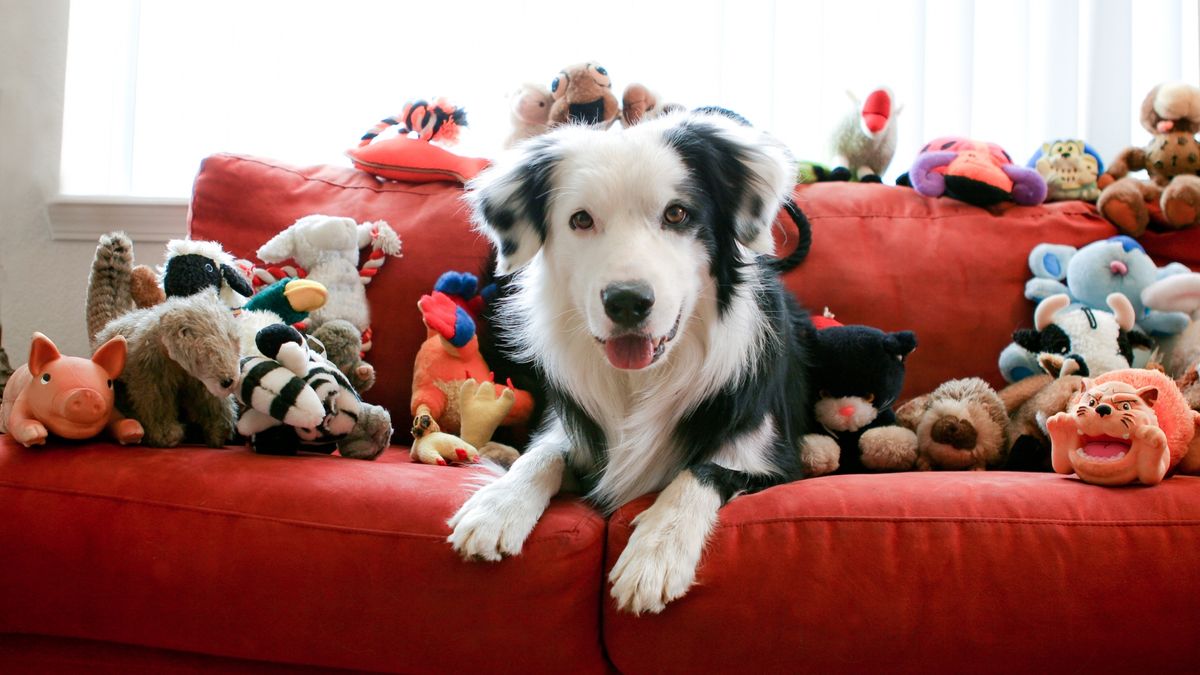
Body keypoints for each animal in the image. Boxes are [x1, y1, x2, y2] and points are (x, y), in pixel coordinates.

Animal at [446, 111, 820, 614]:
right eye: (581, 219)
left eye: (677, 214)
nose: (627, 302)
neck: (642, 379)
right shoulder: (571, 426)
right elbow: (543, 453)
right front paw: (497, 506)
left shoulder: (771, 461)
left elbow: (700, 472)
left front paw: (655, 553)